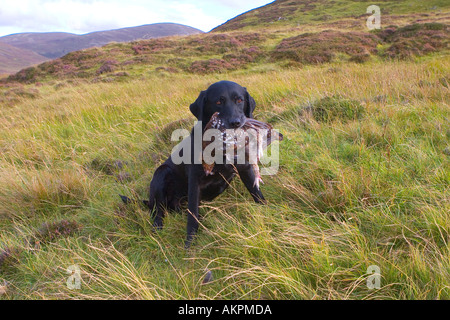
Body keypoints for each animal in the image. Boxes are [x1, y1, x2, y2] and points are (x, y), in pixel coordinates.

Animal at [121, 80, 266, 248]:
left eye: (239, 100)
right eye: (218, 102)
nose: (235, 122)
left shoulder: (245, 168)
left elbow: (256, 192)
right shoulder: (195, 181)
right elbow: (192, 216)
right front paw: (189, 245)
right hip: (161, 173)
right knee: (159, 211)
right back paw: (158, 228)